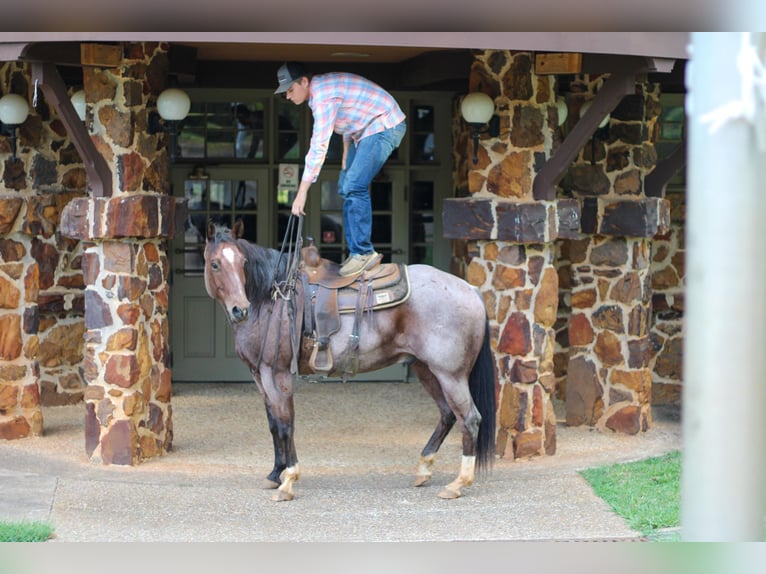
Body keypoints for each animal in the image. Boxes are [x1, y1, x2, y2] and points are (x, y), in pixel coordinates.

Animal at [202, 222, 498, 504]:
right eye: (215, 263)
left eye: (242, 262)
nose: (240, 309)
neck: (272, 299)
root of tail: (470, 289)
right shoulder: (259, 375)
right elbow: (274, 423)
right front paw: (275, 474)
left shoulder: (277, 373)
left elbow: (286, 424)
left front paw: (288, 481)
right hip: (426, 369)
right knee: (448, 414)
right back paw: (424, 470)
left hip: (451, 375)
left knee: (470, 419)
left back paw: (458, 484)